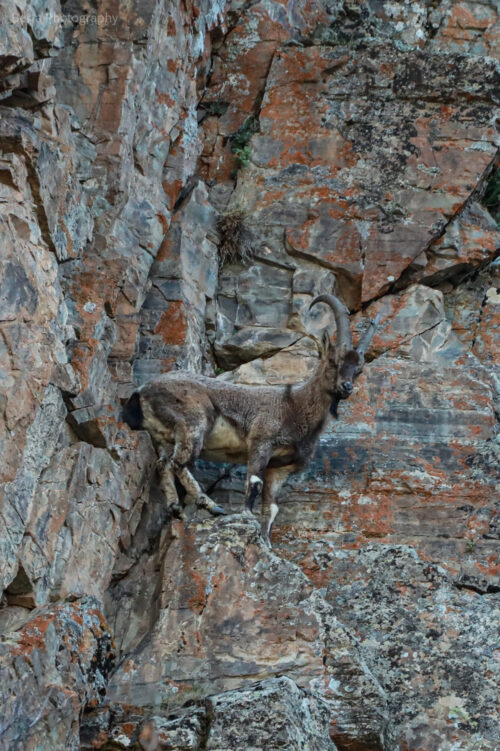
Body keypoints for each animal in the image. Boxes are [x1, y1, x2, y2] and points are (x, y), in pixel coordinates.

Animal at [122, 295, 380, 545]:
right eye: (333, 361)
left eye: (358, 370)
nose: (346, 387)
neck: (296, 405)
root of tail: (142, 391)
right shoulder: (261, 442)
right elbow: (254, 483)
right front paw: (246, 517)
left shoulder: (281, 466)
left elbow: (272, 507)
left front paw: (265, 541)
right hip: (194, 423)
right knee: (178, 462)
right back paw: (212, 506)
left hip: (164, 436)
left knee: (163, 464)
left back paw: (176, 508)